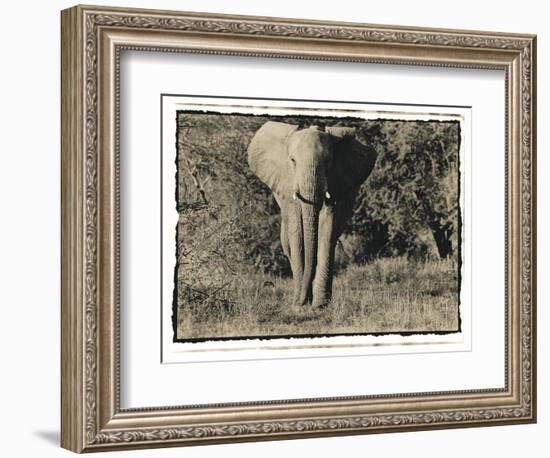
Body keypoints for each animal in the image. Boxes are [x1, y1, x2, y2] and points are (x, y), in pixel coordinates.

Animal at [248, 121, 378, 308]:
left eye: (328, 161)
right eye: (292, 161)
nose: (303, 302)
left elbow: (328, 224)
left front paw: (319, 305)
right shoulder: (287, 183)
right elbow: (296, 230)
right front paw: (299, 304)